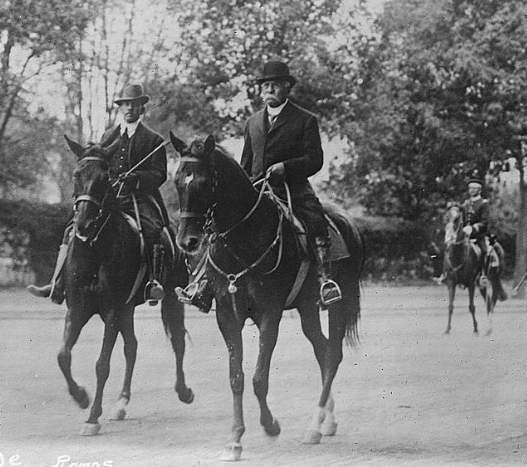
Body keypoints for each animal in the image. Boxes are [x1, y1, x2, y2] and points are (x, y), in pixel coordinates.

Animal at [57, 130, 194, 436]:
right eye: (76, 174)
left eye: (105, 177)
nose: (83, 224)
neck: (95, 249)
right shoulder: (78, 309)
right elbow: (63, 355)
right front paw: (81, 397)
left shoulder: (111, 310)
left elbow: (102, 364)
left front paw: (92, 417)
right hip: (127, 308)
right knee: (131, 347)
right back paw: (121, 403)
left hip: (167, 298)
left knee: (177, 342)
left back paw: (183, 391)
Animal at [171, 133, 366, 462]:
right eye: (176, 181)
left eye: (204, 182)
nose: (187, 242)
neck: (244, 237)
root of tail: (348, 222)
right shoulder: (228, 316)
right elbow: (236, 377)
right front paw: (234, 439)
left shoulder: (269, 315)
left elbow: (259, 378)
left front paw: (270, 425)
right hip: (307, 310)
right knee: (322, 350)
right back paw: (327, 421)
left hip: (338, 305)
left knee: (333, 354)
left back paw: (314, 427)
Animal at [442, 203, 508, 334]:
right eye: (446, 217)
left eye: (457, 219)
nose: (448, 239)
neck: (459, 254)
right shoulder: (451, 283)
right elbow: (450, 306)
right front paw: (447, 329)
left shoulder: (471, 283)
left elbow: (471, 306)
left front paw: (476, 329)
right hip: (482, 285)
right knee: (488, 300)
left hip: (494, 279)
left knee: (493, 298)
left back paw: (489, 327)